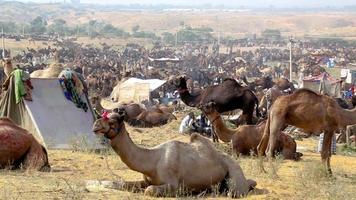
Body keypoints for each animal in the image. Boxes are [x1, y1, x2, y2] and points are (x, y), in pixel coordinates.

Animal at [92, 110, 256, 198]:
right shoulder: (146, 180)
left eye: (112, 122)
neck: (152, 161)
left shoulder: (174, 185)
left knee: (236, 190)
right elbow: (124, 184)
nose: (95, 125)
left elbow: (149, 190)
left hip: (234, 174)